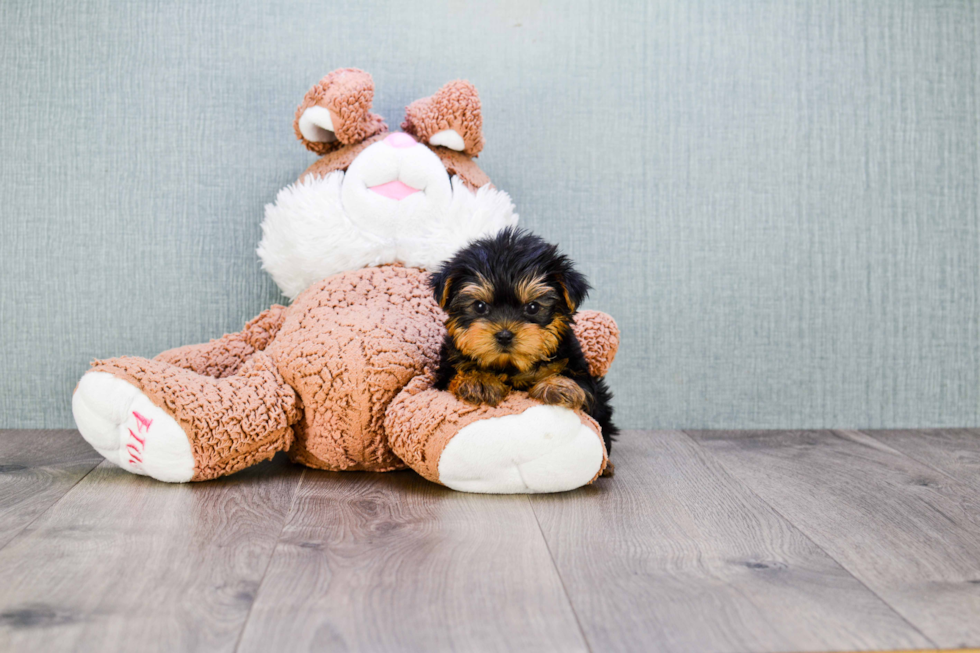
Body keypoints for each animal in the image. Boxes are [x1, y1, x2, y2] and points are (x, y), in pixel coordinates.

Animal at [430, 227, 620, 456]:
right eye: (479, 306)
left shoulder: (581, 374)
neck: (510, 366)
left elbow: (582, 389)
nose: (504, 335)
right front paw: (479, 380)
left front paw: (558, 385)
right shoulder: (444, 372)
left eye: (533, 307)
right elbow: (453, 378)